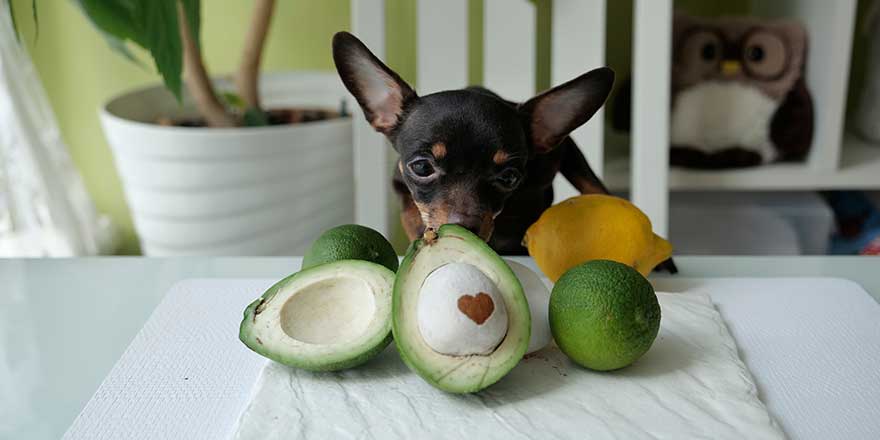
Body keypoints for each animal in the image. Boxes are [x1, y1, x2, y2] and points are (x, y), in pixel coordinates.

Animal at [334, 31, 616, 254]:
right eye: (422, 167)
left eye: (509, 178)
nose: (464, 227)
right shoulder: (402, 189)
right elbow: (413, 213)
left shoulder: (563, 155)